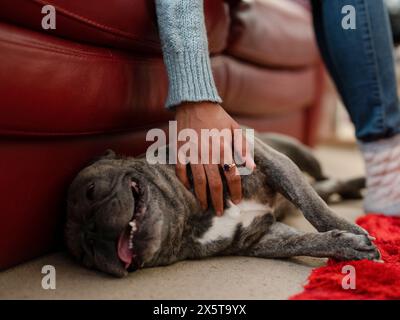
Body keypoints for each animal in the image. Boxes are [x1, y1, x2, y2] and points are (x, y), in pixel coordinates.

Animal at [66, 134, 382, 276]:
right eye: (86, 253)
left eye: (91, 192)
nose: (93, 232)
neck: (189, 216)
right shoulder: (262, 239)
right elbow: (304, 242)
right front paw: (345, 245)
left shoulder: (270, 161)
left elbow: (312, 206)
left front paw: (351, 230)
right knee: (328, 187)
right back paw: (356, 186)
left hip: (301, 154)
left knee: (320, 184)